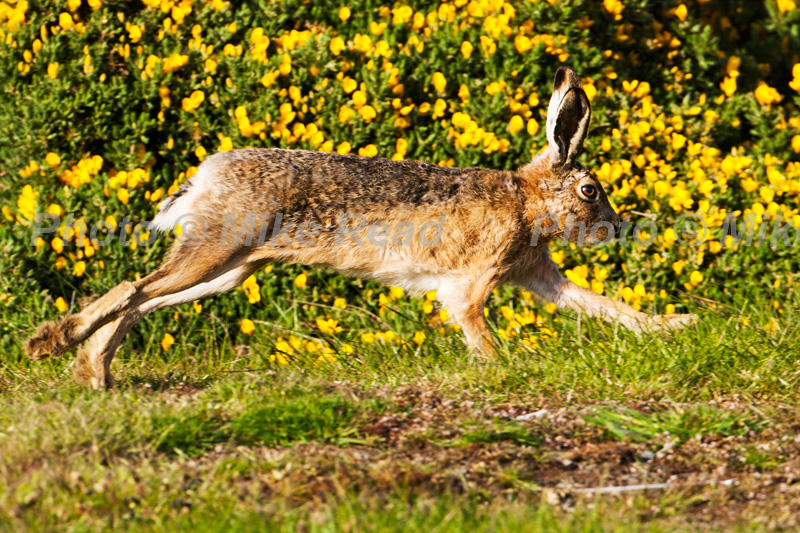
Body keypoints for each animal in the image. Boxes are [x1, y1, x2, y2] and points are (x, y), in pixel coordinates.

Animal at [24, 66, 697, 389]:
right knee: (133, 291)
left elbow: (601, 304)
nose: (611, 229)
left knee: (143, 300)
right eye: (590, 192)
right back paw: (54, 344)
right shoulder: (472, 282)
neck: (528, 202)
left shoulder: (537, 277)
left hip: (231, 269)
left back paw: (94, 372)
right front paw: (505, 366)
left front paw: (675, 326)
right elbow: (476, 324)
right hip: (218, 247)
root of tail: (205, 174)